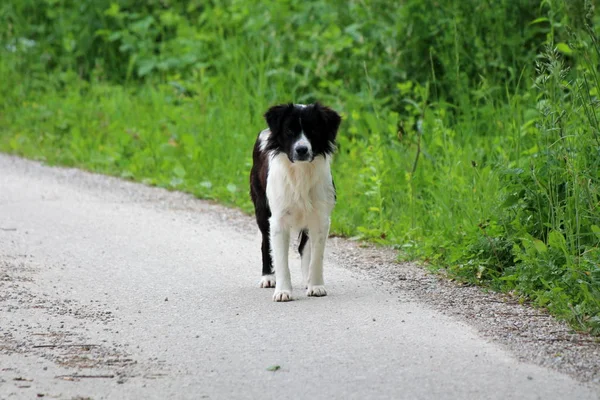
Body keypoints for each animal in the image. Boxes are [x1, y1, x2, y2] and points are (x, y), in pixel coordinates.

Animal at [250, 101, 342, 302]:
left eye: (313, 130)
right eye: (289, 131)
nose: (302, 150)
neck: (301, 172)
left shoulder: (321, 218)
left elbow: (316, 257)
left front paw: (316, 286)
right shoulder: (278, 220)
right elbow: (281, 259)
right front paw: (283, 291)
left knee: (304, 249)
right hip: (261, 209)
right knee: (265, 243)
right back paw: (268, 278)